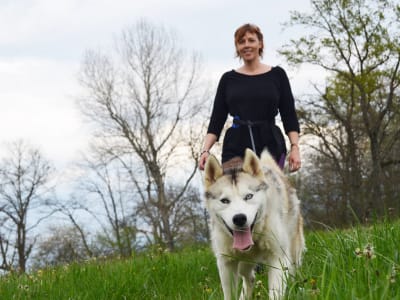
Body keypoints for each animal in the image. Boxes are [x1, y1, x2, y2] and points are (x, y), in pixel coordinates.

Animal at [205, 149, 304, 298]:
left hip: (292, 251)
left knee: (292, 271)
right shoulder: (226, 263)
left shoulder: (278, 257)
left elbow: (276, 292)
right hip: (244, 262)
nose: (239, 218)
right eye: (225, 201)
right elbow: (230, 294)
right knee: (249, 276)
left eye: (249, 196)